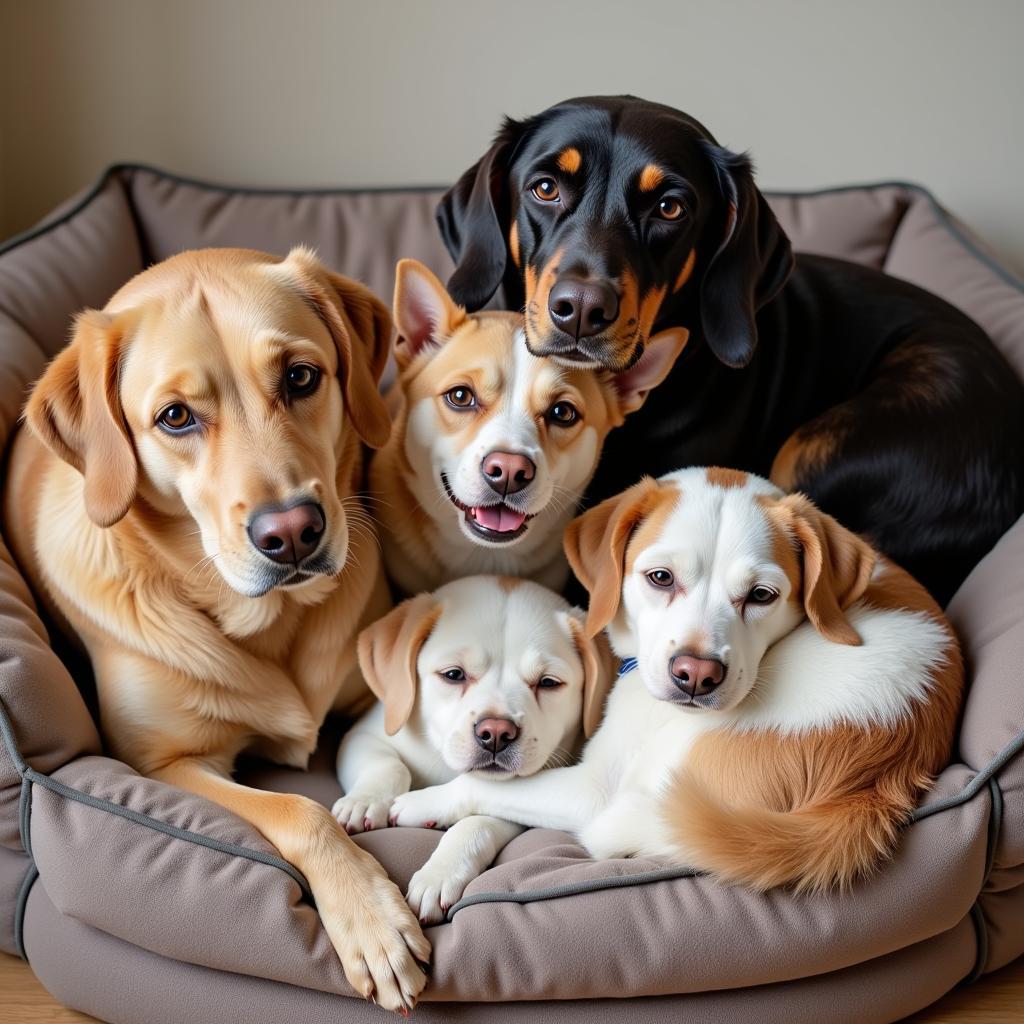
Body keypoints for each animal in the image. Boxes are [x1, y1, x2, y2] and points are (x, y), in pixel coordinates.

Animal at [3, 247, 428, 1015]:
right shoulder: (163, 767)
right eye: (175, 417)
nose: (291, 533)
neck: (268, 618)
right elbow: (298, 809)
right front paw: (371, 921)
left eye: (301, 377)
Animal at [333, 581, 606, 925]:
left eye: (548, 683)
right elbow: (389, 765)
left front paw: (439, 873)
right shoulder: (361, 734)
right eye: (454, 675)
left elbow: (475, 822)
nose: (496, 733)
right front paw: (365, 801)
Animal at [387, 468, 962, 892]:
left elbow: (479, 783)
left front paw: (418, 803)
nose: (696, 677)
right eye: (660, 578)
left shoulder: (594, 787)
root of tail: (876, 779)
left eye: (762, 595)